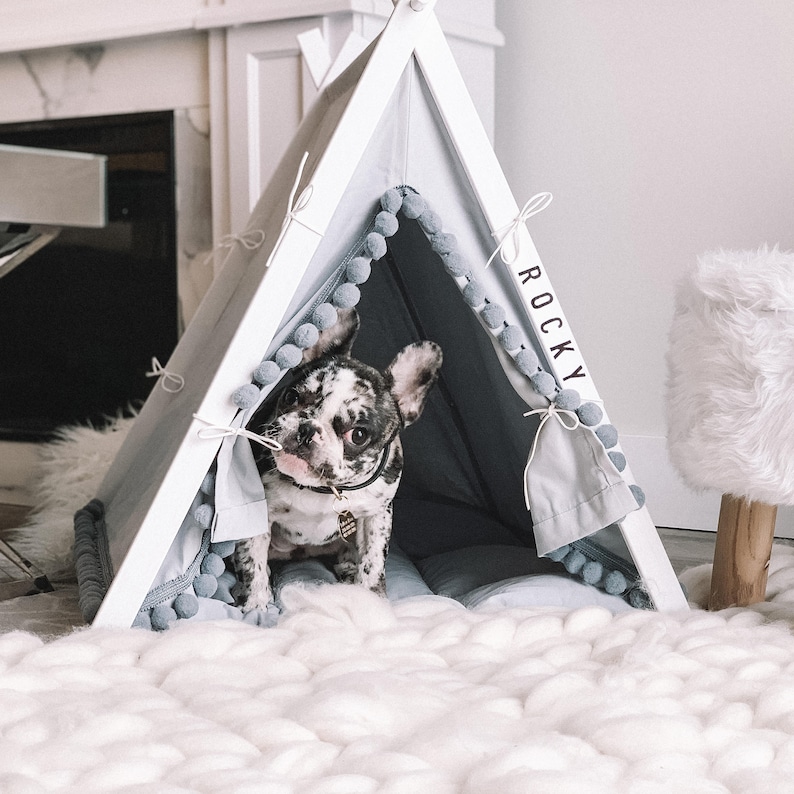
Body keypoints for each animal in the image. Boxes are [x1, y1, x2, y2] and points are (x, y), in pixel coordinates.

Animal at [235, 306, 442, 608]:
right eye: (291, 396)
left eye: (358, 435)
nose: (307, 430)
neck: (322, 489)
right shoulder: (256, 512)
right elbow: (253, 561)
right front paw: (256, 605)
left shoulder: (377, 516)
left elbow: (373, 560)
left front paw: (371, 598)